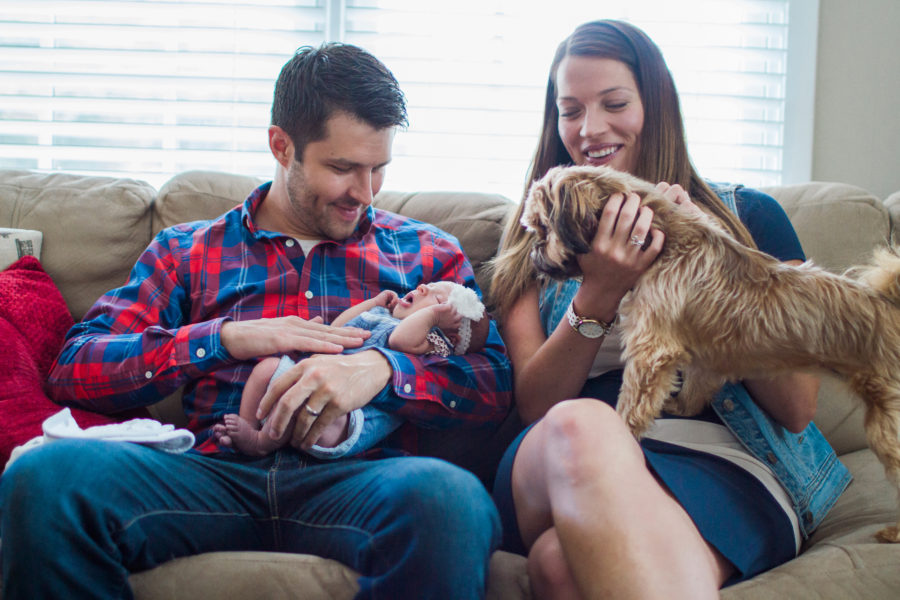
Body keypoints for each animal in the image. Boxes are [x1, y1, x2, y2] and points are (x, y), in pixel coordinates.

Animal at [516, 164, 900, 544]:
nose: (534, 257)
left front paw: (619, 433)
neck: (664, 240)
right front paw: (677, 407)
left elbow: (631, 404)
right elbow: (693, 391)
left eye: (542, 228)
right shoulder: (707, 363)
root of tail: (888, 307)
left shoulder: (650, 351)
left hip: (887, 425)